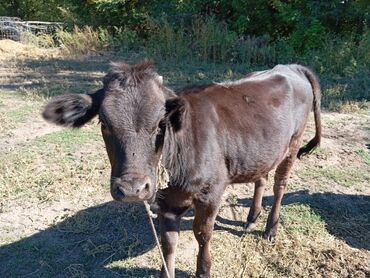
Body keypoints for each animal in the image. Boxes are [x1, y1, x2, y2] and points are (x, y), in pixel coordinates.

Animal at [42, 59, 320, 276]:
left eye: (160, 124)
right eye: (104, 123)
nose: (132, 189)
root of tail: (290, 67)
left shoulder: (211, 193)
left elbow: (203, 233)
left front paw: (203, 270)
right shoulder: (165, 205)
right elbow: (168, 245)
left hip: (293, 144)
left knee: (280, 184)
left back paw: (270, 229)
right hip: (260, 152)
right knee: (261, 178)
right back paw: (252, 218)